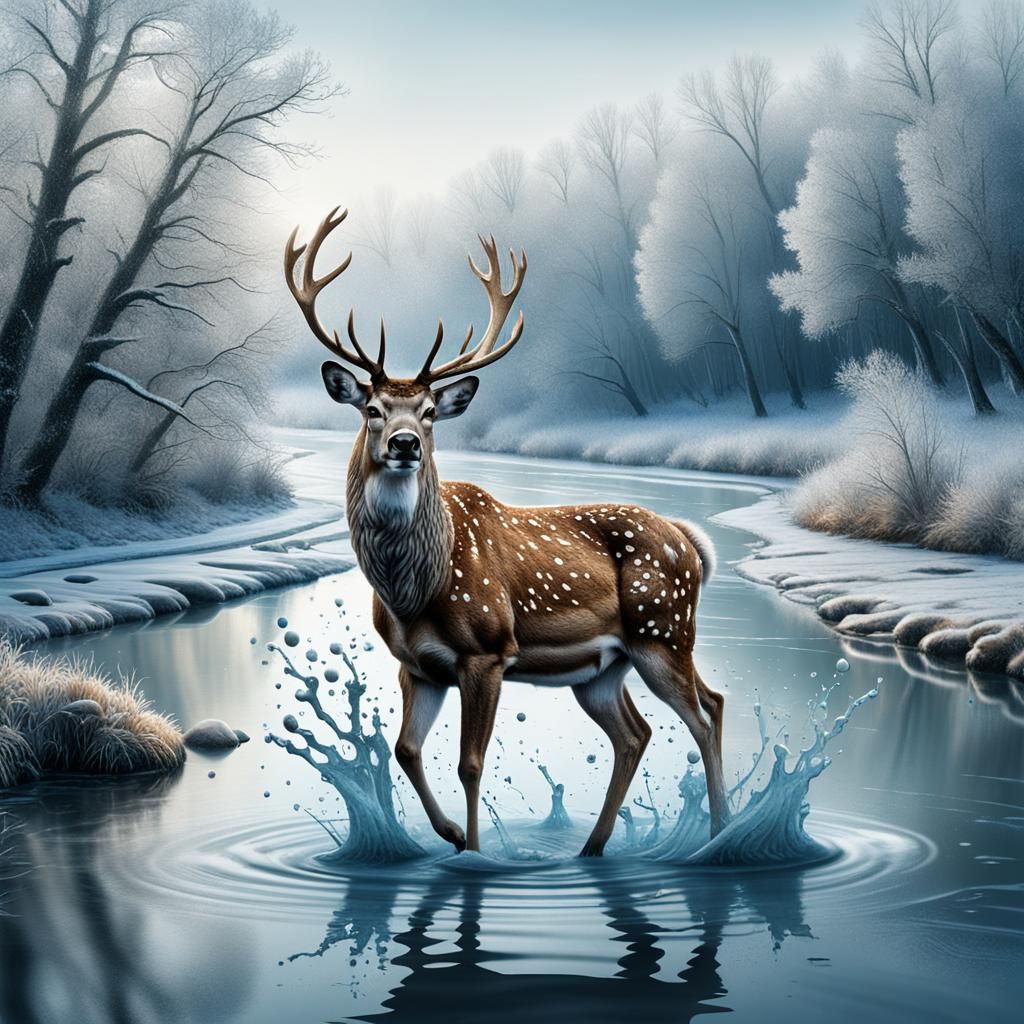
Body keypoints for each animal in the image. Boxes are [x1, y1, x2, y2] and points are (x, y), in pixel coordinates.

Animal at [284, 207, 729, 856]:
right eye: (372, 410)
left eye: (430, 413)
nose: (405, 444)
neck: (414, 587)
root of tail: (687, 540)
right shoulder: (417, 665)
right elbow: (406, 749)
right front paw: (447, 834)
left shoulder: (488, 650)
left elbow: (470, 763)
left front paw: (473, 853)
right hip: (606, 667)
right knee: (638, 732)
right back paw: (593, 848)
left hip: (663, 630)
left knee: (706, 710)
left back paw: (721, 838)